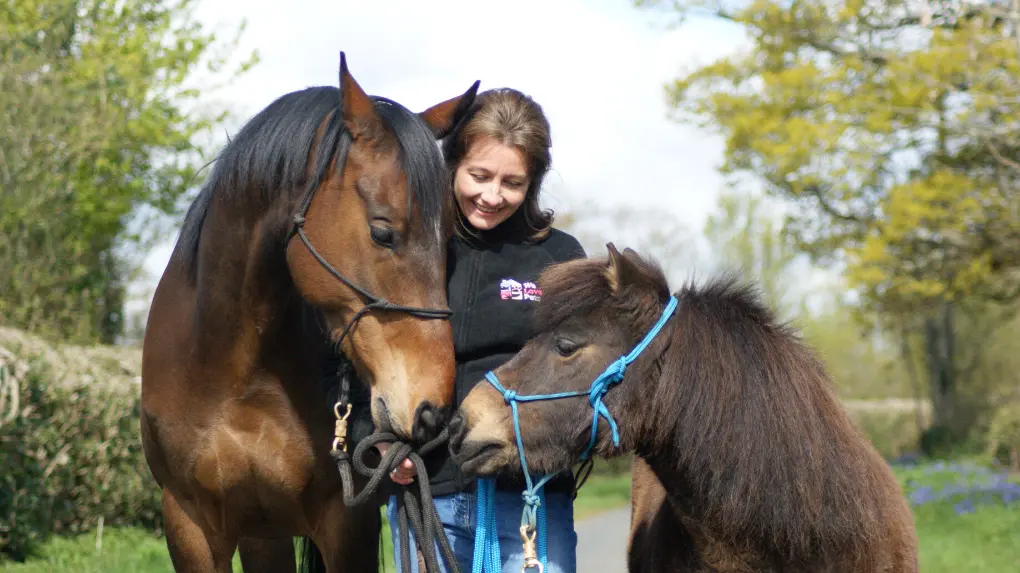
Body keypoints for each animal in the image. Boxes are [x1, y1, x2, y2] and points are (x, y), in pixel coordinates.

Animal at [140, 53, 479, 573]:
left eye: (452, 242)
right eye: (382, 232)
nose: (432, 412)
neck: (235, 371)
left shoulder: (346, 522)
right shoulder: (188, 522)